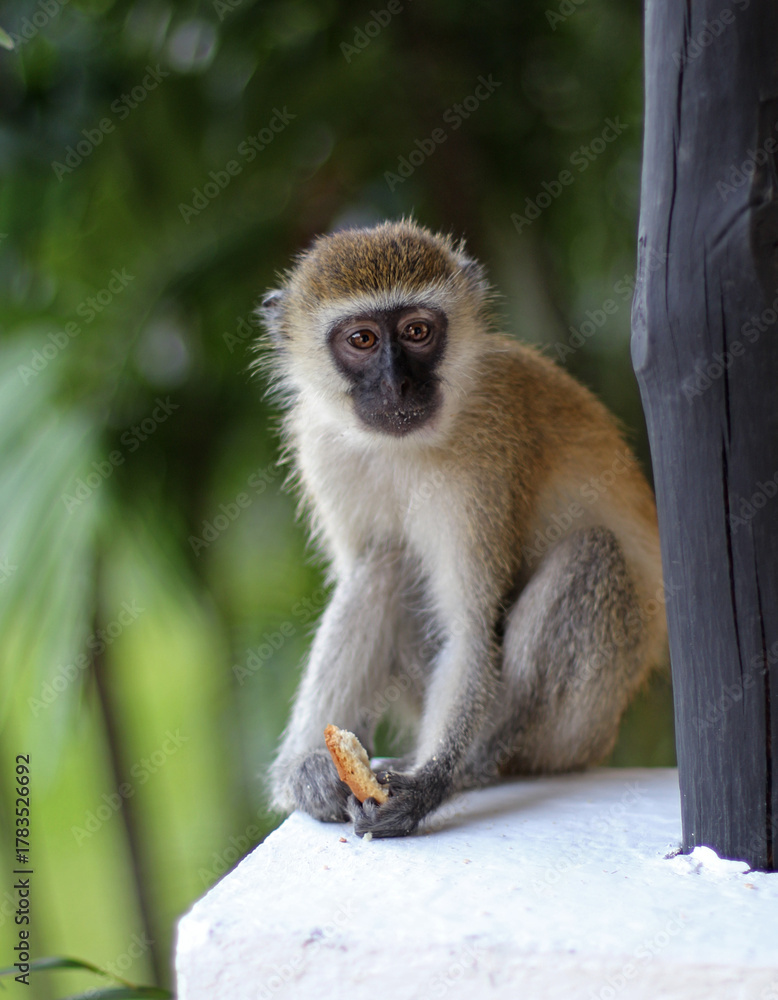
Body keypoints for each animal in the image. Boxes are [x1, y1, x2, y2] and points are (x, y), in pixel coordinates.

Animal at [259, 219, 666, 839]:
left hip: (579, 727)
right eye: (362, 340)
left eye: (418, 331)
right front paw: (305, 772)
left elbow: (470, 628)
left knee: (591, 556)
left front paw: (429, 783)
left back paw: (475, 763)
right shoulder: (322, 446)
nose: (398, 386)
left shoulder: (486, 454)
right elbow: (366, 574)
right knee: (383, 566)